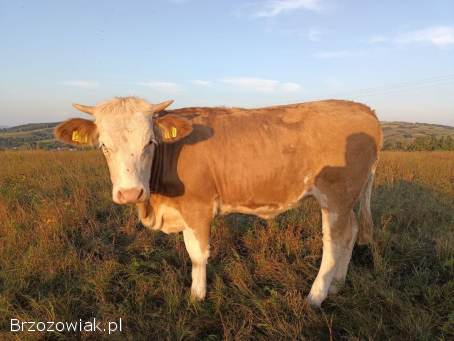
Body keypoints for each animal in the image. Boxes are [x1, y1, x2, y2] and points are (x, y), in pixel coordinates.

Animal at [56, 95, 384, 306]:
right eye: (103, 146)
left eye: (150, 142)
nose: (129, 193)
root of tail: (363, 109)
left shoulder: (197, 208)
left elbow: (197, 255)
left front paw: (196, 296)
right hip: (348, 198)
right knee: (352, 232)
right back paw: (337, 285)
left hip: (336, 195)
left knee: (335, 242)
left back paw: (316, 296)